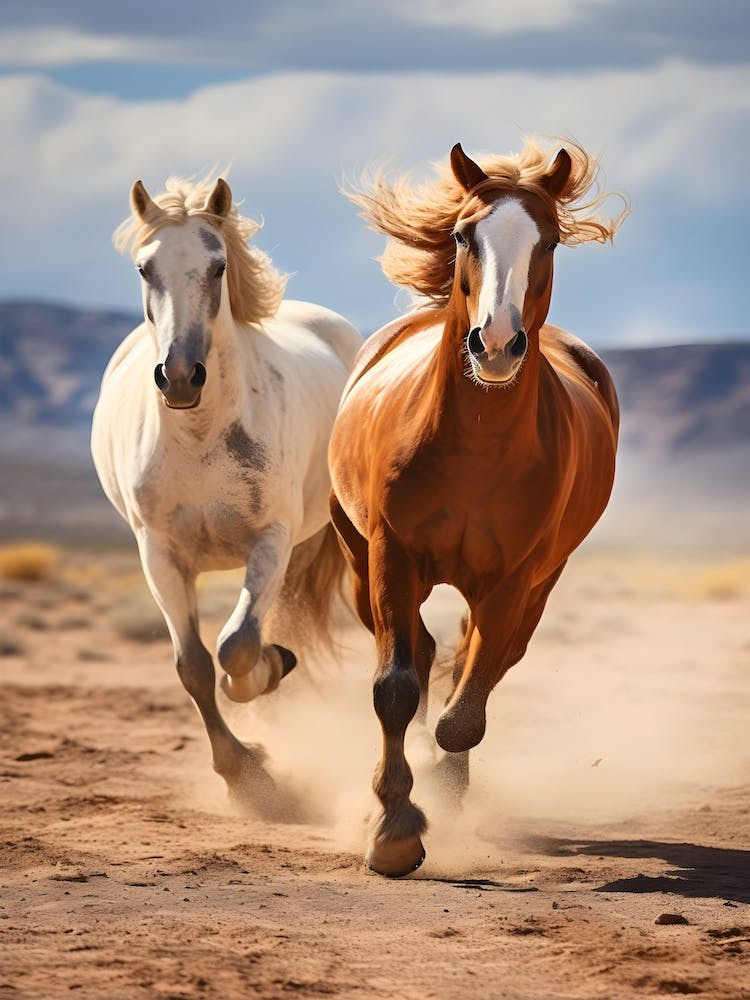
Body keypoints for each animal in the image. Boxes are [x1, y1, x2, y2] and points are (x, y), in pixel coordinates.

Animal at [92, 174, 362, 815]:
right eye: (144, 268)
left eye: (216, 267)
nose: (180, 377)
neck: (201, 436)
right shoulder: (159, 553)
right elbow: (192, 665)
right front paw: (244, 771)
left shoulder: (272, 540)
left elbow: (237, 645)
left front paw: (265, 673)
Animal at [329, 138, 626, 876]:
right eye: (466, 235)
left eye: (549, 240)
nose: (495, 345)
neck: (476, 448)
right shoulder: (391, 555)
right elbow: (396, 688)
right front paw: (394, 831)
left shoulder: (515, 578)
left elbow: (464, 712)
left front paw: (437, 792)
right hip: (359, 561)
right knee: (422, 650)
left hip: (539, 582)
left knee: (477, 664)